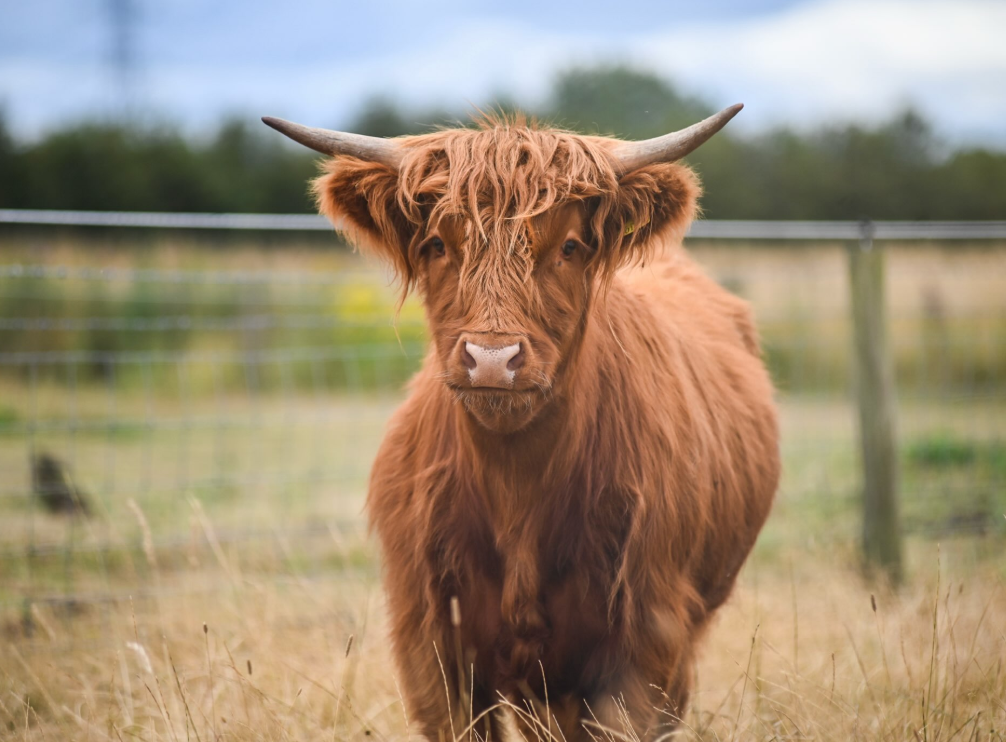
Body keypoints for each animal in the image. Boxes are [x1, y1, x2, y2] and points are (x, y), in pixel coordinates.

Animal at [264, 105, 780, 741]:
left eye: (571, 246)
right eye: (437, 243)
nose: (492, 358)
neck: (518, 496)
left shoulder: (648, 639)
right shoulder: (432, 645)